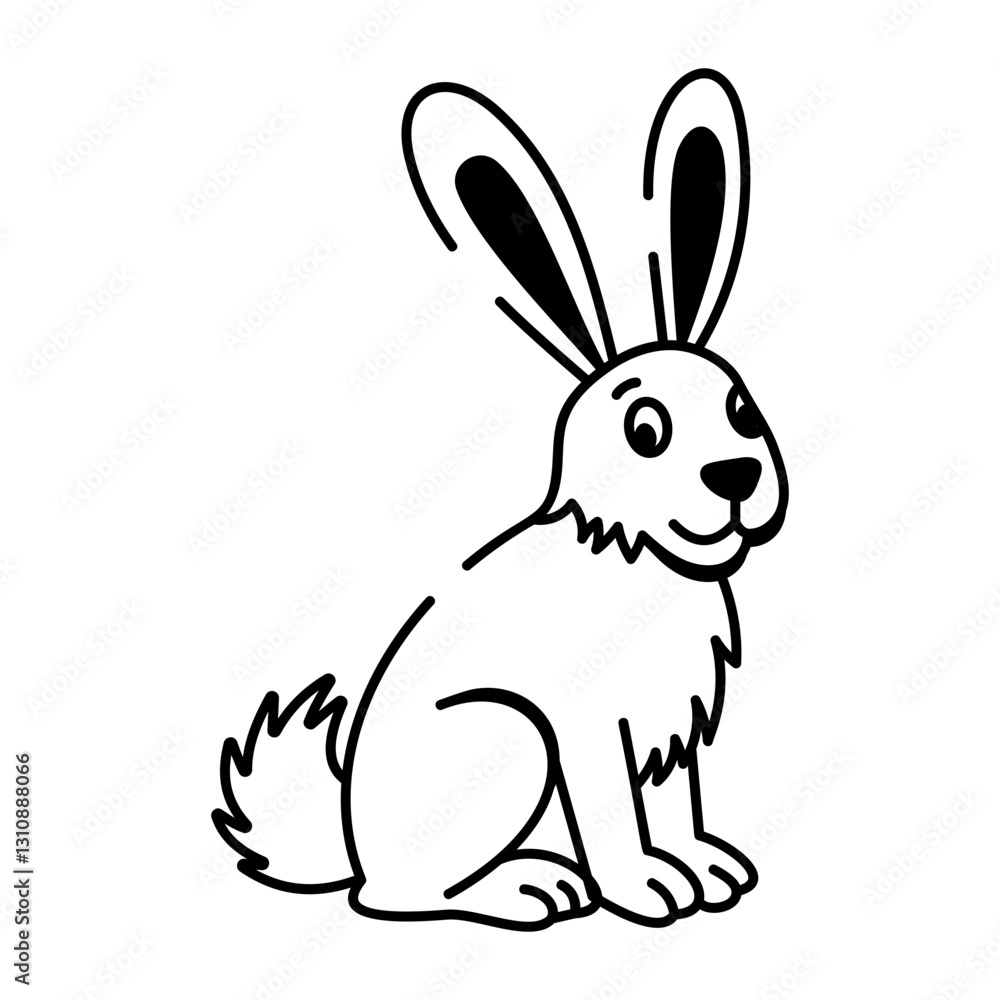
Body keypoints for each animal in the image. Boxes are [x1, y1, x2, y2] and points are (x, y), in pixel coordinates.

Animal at [214, 68, 789, 931]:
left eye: (742, 413)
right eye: (645, 430)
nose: (735, 477)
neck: (628, 549)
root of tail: (350, 842)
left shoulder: (668, 733)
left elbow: (673, 806)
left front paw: (704, 868)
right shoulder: (591, 727)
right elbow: (613, 816)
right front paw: (647, 889)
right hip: (511, 736)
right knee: (396, 895)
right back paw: (529, 887)